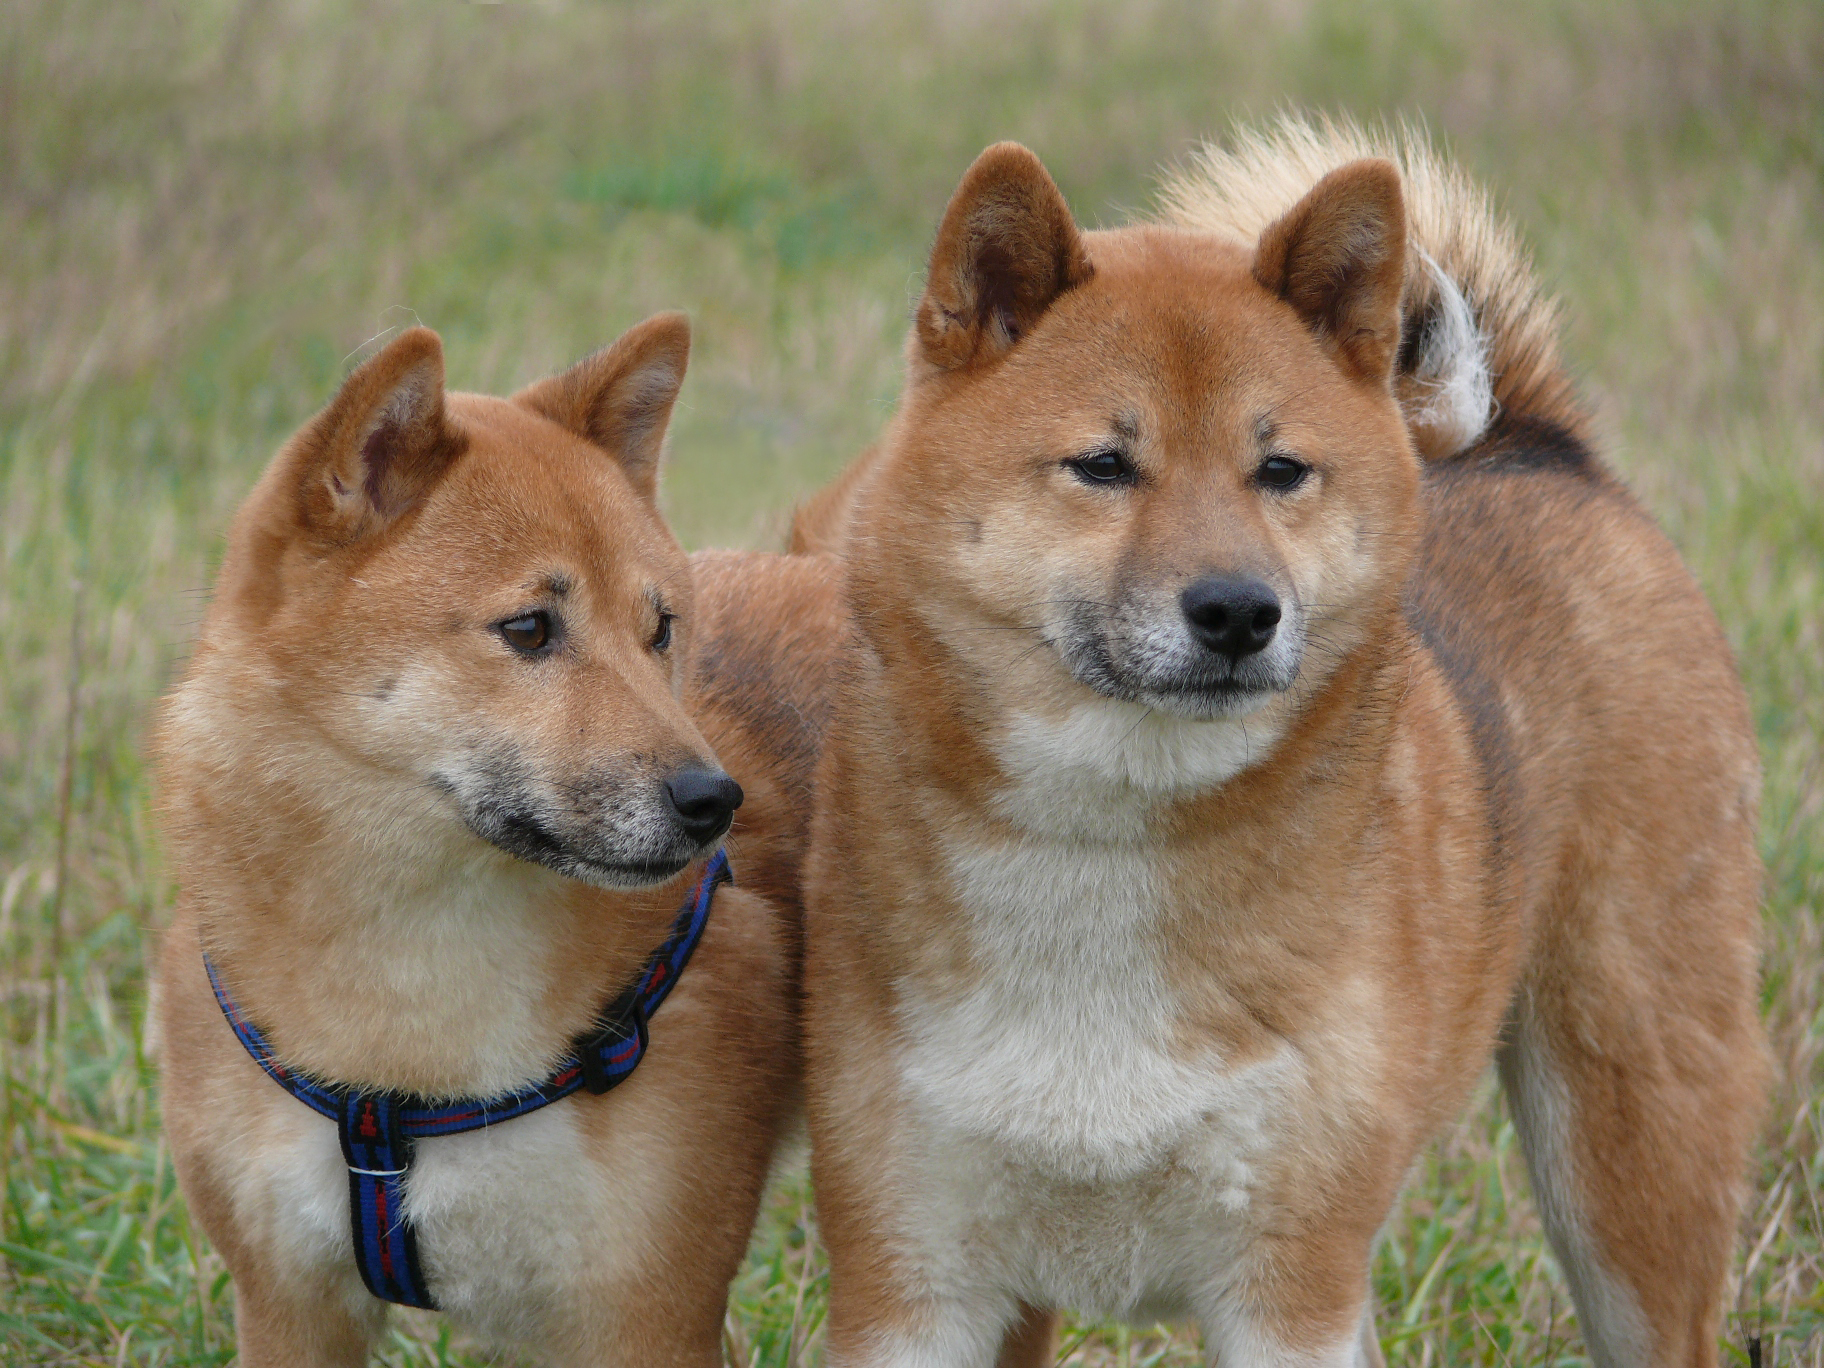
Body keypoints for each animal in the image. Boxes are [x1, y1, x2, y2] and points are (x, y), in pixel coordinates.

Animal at [798, 117, 1765, 1368]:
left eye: (1280, 469)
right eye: (1104, 464)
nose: (1237, 610)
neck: (1106, 858)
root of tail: (1541, 447)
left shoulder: (1290, 1288)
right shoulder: (913, 1282)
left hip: (1632, 1150)